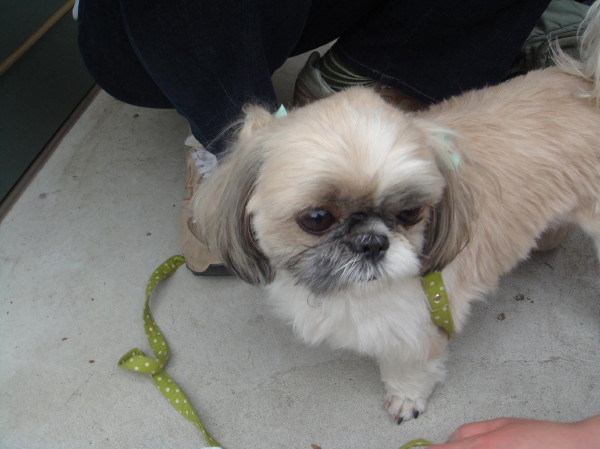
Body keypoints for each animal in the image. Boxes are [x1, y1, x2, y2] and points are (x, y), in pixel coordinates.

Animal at [192, 4, 600, 424]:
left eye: (410, 212)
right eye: (317, 218)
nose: (372, 242)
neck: (357, 293)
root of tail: (588, 81)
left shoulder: (421, 325)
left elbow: (410, 369)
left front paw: (405, 398)